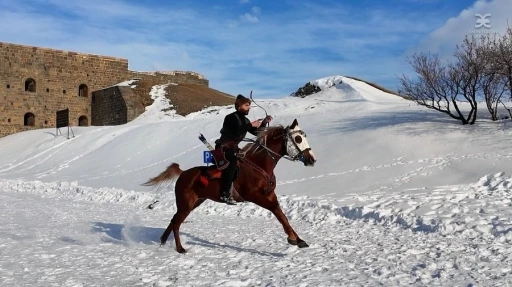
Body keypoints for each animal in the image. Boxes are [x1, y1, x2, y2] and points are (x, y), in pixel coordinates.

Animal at [141, 118, 316, 253]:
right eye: (298, 139)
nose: (312, 159)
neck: (259, 164)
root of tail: (183, 174)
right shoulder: (254, 196)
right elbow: (276, 211)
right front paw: (292, 238)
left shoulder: (270, 194)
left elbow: (282, 214)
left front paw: (298, 239)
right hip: (186, 204)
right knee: (176, 223)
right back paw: (179, 248)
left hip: (195, 202)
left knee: (173, 220)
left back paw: (163, 239)